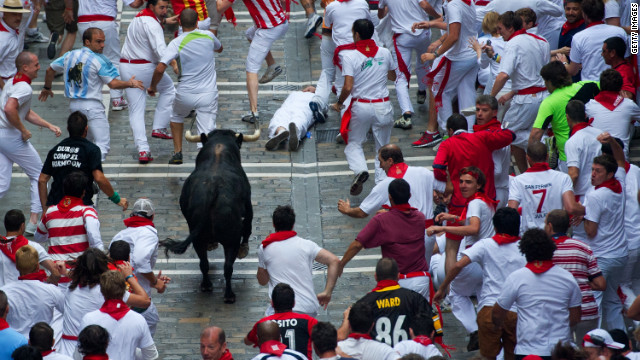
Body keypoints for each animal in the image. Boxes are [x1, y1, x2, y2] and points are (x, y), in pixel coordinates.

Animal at [160, 128, 260, 302]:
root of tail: (213, 189)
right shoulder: (248, 203)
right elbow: (248, 225)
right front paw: (244, 249)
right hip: (231, 239)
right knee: (228, 266)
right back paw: (229, 295)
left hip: (198, 238)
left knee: (204, 263)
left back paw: (206, 285)